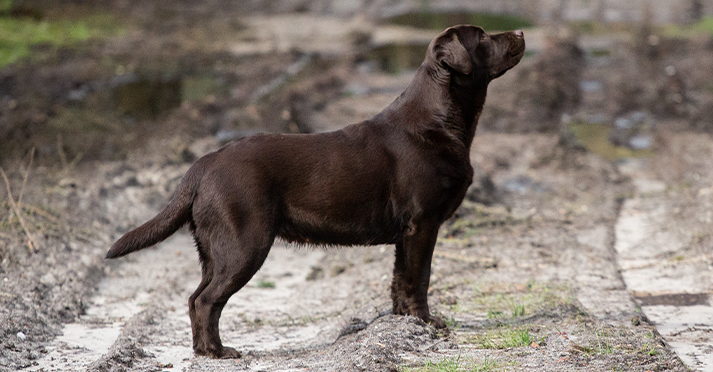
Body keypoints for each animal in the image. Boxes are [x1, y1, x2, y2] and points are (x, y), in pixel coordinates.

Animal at [108, 25, 524, 358]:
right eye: (482, 37)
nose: (520, 33)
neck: (438, 121)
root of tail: (202, 164)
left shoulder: (407, 233)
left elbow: (399, 280)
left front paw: (400, 323)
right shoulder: (422, 223)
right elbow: (418, 278)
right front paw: (425, 323)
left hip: (213, 248)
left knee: (196, 297)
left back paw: (202, 349)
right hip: (244, 243)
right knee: (208, 300)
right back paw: (218, 352)